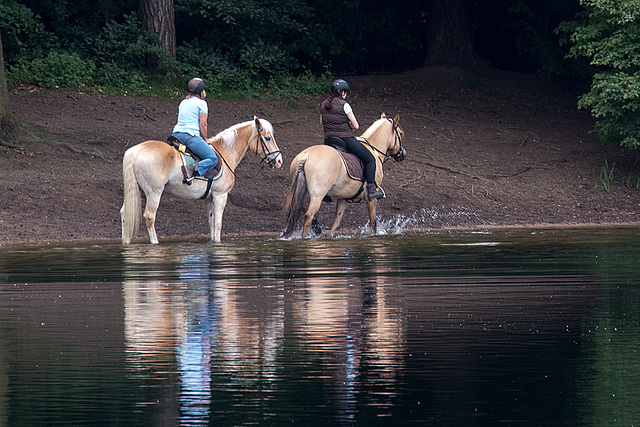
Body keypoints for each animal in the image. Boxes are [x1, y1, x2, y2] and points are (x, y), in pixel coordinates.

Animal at [121, 117, 282, 244]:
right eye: (267, 138)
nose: (279, 160)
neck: (225, 152)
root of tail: (135, 150)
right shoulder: (220, 196)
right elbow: (218, 223)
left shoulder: (210, 199)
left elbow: (211, 223)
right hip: (154, 193)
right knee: (150, 217)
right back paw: (155, 243)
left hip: (137, 190)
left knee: (125, 213)